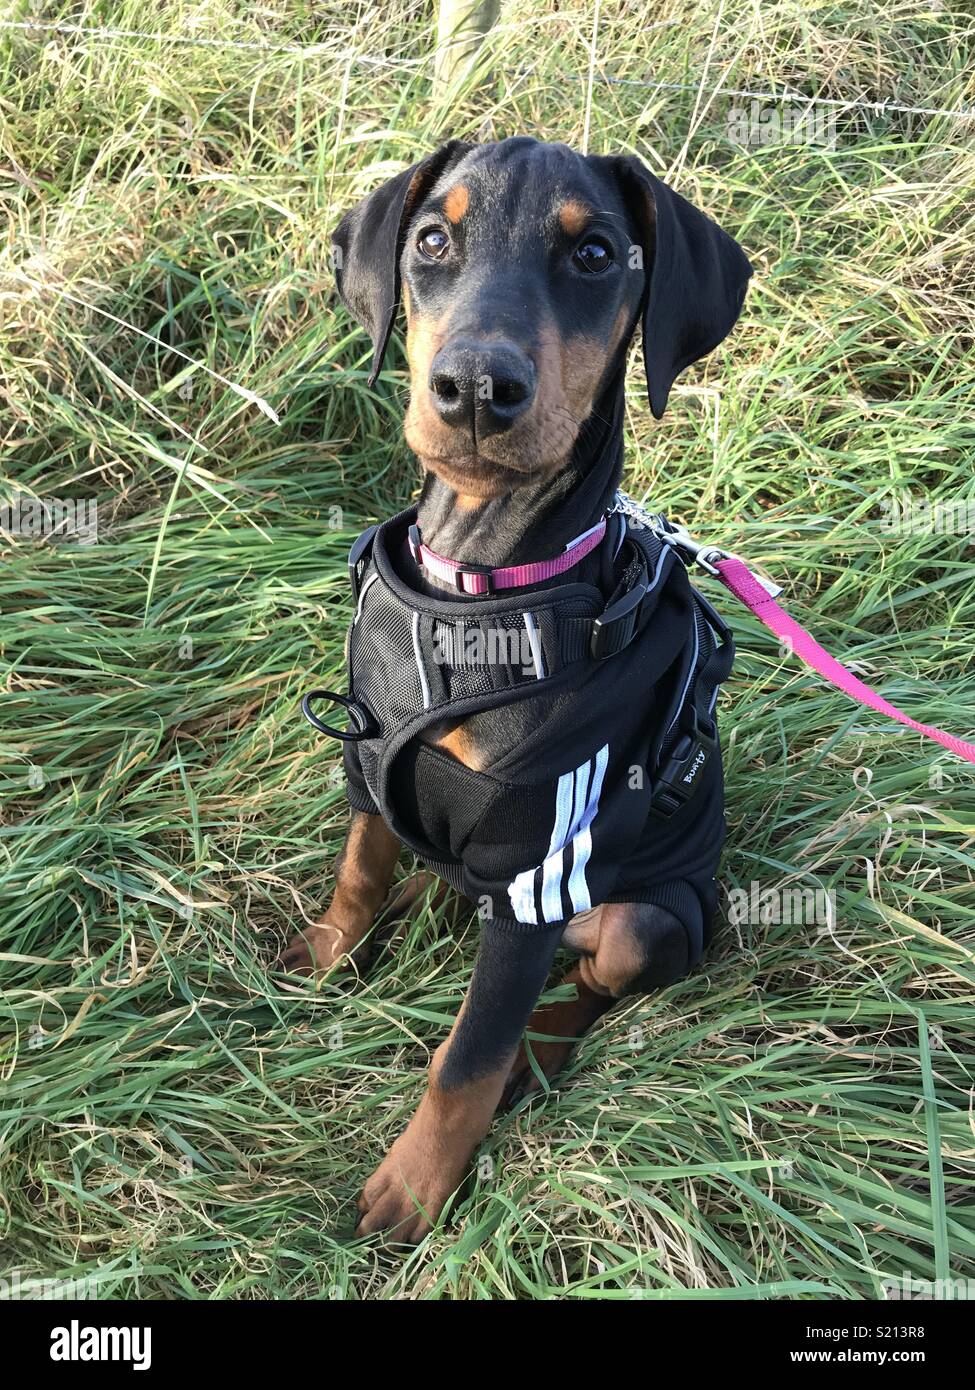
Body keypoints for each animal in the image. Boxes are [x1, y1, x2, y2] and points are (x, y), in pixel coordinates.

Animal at [280, 138, 751, 1239]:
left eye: (595, 253)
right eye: (430, 240)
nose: (476, 388)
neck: (479, 585)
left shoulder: (540, 867)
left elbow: (466, 1058)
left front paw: (413, 1193)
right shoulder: (370, 756)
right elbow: (359, 868)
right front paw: (327, 957)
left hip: (651, 915)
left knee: (593, 985)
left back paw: (539, 1057)